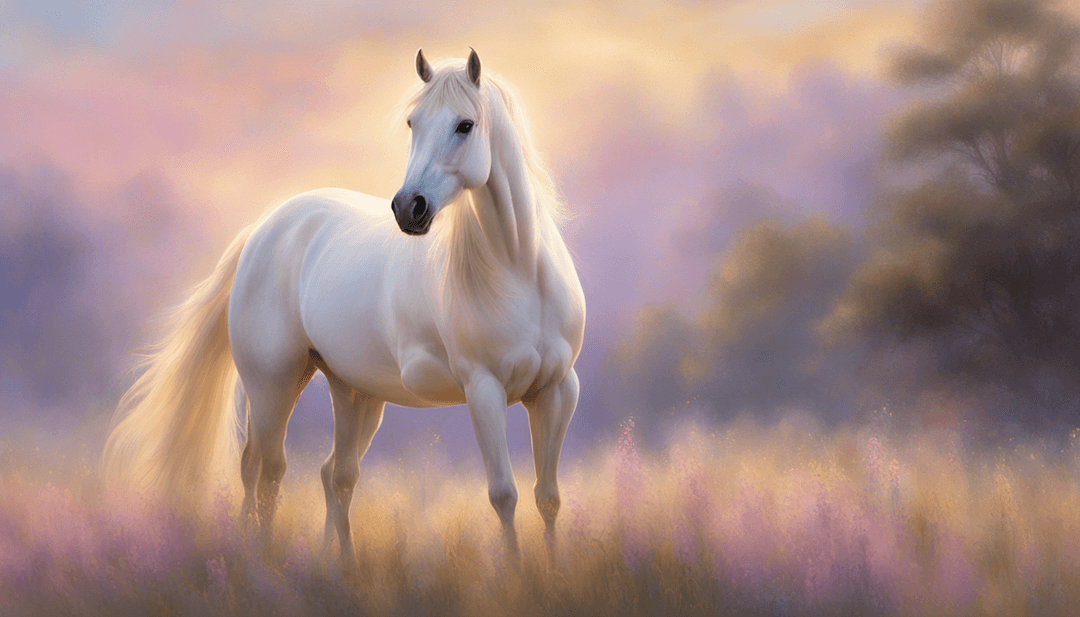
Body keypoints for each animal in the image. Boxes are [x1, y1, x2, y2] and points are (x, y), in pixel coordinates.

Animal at [101, 48, 585, 567]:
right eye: (413, 122)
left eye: (465, 124)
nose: (408, 208)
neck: (518, 268)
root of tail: (263, 228)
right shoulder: (484, 391)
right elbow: (504, 495)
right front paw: (517, 574)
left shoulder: (556, 391)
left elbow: (548, 497)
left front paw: (551, 572)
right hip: (273, 385)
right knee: (266, 472)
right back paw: (261, 560)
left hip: (353, 393)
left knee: (336, 476)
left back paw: (340, 566)